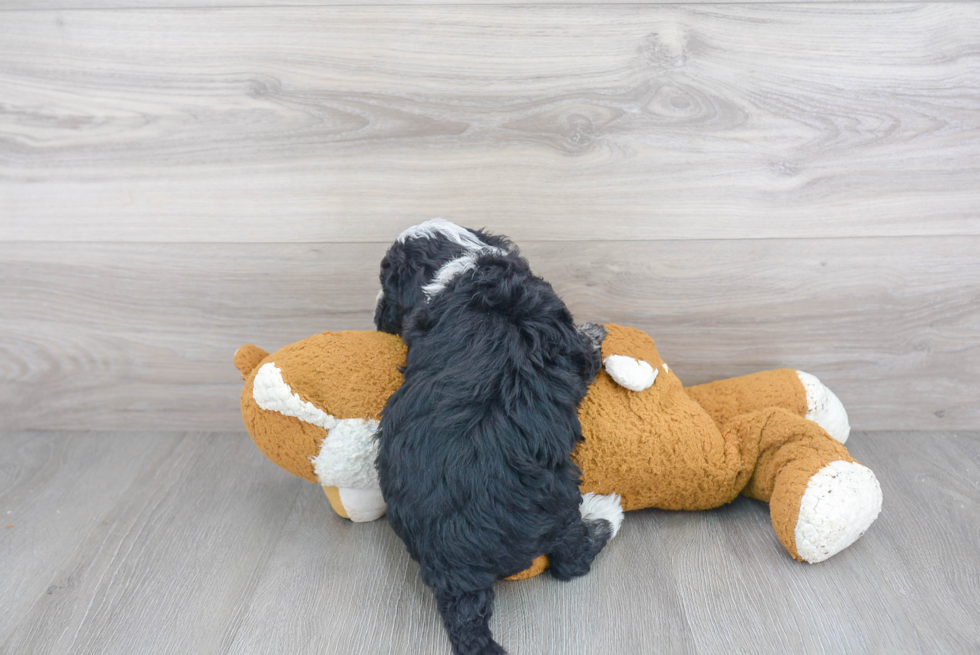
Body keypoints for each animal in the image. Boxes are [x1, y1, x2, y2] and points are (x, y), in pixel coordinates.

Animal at [376, 222, 620, 655]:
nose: (376, 314)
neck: (458, 263)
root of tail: (455, 568)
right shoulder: (570, 345)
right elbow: (587, 352)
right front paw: (594, 331)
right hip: (559, 501)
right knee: (570, 561)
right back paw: (605, 514)